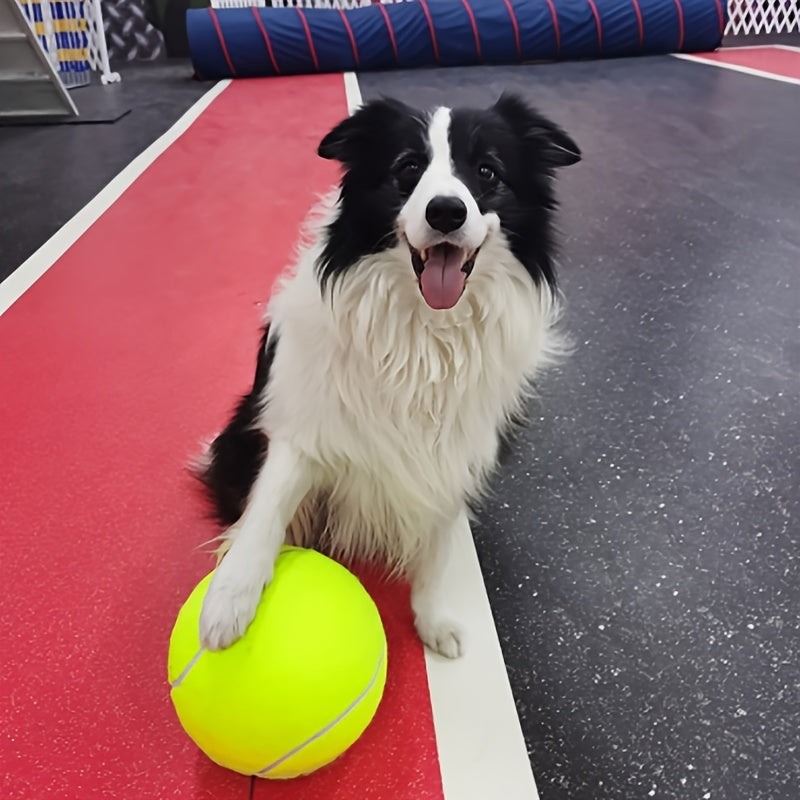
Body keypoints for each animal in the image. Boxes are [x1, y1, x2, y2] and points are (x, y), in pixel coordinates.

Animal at [194, 95, 580, 656]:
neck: (425, 331)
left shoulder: (452, 451)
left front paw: (433, 619)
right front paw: (228, 601)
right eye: (408, 168)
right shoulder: (303, 426)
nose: (447, 211)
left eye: (487, 171)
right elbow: (267, 510)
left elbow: (436, 552)